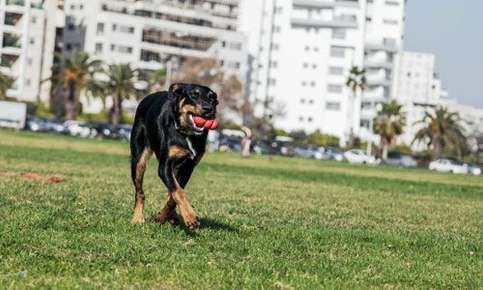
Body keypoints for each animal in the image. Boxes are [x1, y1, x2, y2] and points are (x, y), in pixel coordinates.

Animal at [130, 83, 218, 229]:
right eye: (194, 95)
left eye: (212, 99)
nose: (209, 109)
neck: (187, 134)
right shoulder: (165, 166)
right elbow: (177, 191)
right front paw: (190, 216)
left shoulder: (188, 167)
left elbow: (174, 195)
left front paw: (162, 216)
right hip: (138, 160)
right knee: (139, 192)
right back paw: (137, 217)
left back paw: (172, 216)